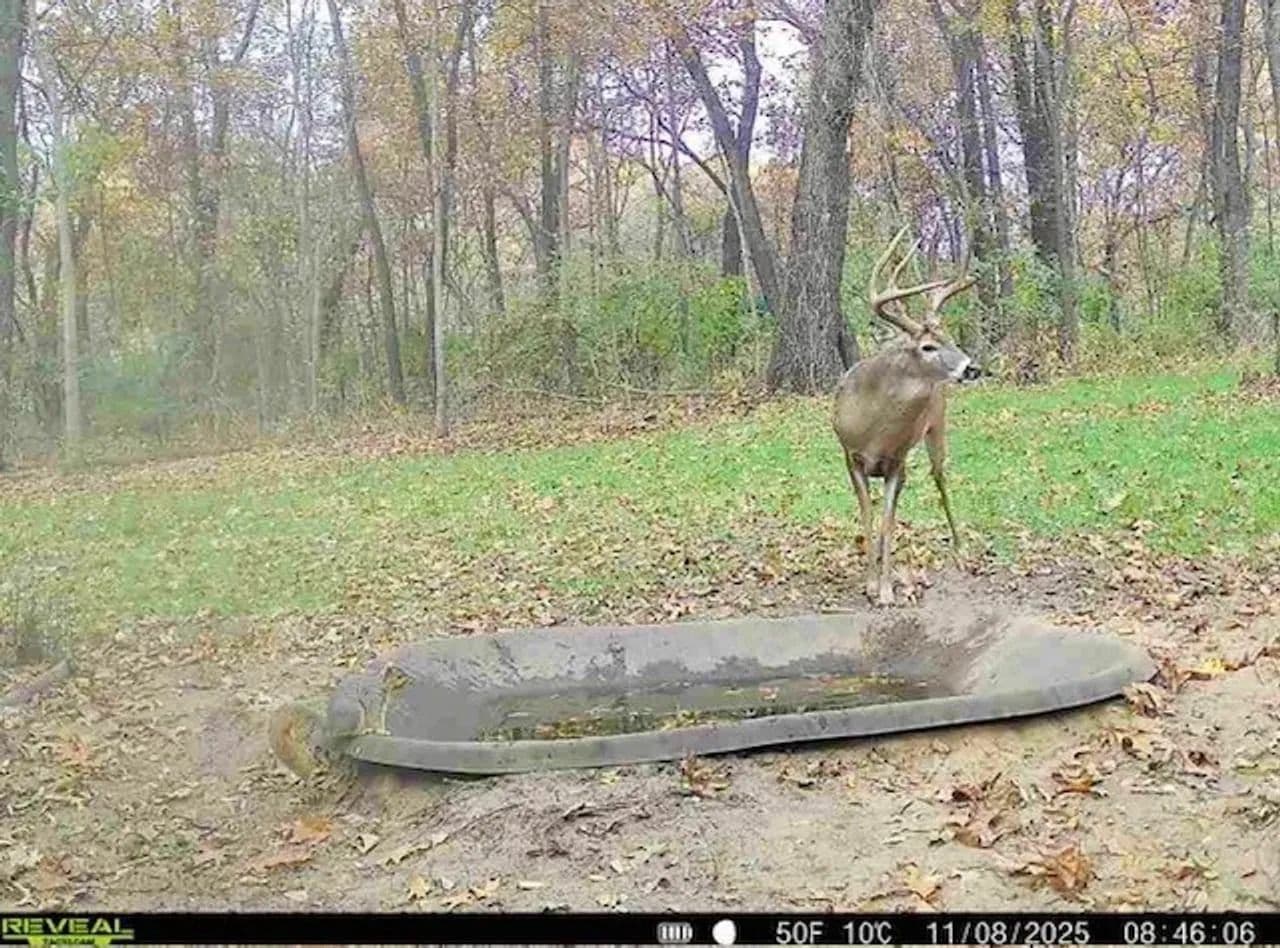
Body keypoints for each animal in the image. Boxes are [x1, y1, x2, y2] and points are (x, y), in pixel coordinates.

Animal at [832, 225, 981, 606]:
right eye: (928, 346)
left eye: (951, 337)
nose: (971, 367)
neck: (874, 427)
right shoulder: (850, 456)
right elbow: (869, 516)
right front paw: (871, 584)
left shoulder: (895, 460)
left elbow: (887, 520)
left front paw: (885, 591)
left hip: (936, 428)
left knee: (939, 478)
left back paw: (961, 552)